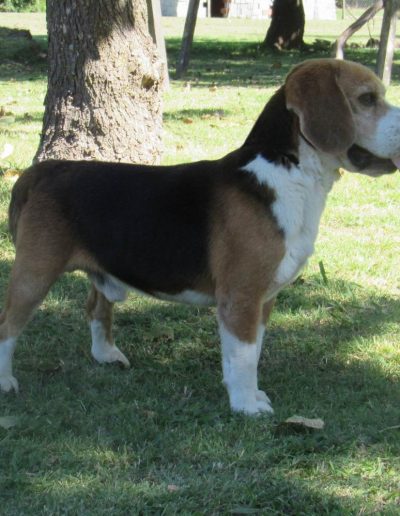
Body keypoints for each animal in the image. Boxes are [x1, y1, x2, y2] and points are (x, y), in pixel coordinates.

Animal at [1, 59, 400, 415]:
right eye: (367, 99)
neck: (289, 172)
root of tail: (44, 170)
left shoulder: (263, 300)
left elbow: (251, 353)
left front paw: (248, 395)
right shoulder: (241, 297)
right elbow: (244, 357)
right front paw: (246, 406)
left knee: (96, 307)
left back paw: (106, 355)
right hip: (33, 275)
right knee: (8, 327)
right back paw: (6, 382)